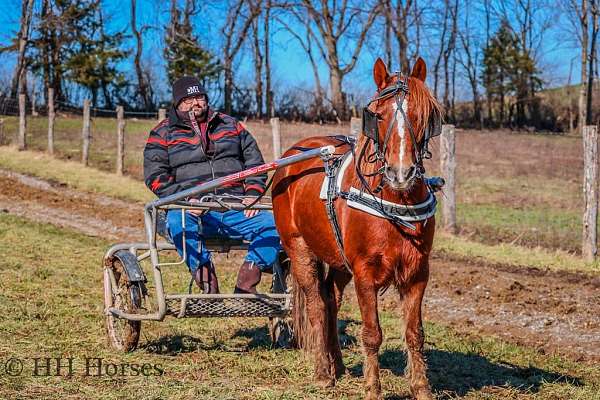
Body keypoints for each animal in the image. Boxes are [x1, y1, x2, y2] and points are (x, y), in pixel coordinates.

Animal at [272, 57, 440, 400]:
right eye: (378, 114)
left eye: (423, 114)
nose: (401, 173)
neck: (394, 201)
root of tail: (293, 154)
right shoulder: (365, 272)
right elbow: (372, 333)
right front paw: (373, 389)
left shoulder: (418, 272)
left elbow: (414, 333)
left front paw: (421, 388)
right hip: (299, 248)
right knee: (317, 305)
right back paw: (323, 373)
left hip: (338, 259)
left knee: (331, 301)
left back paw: (336, 365)